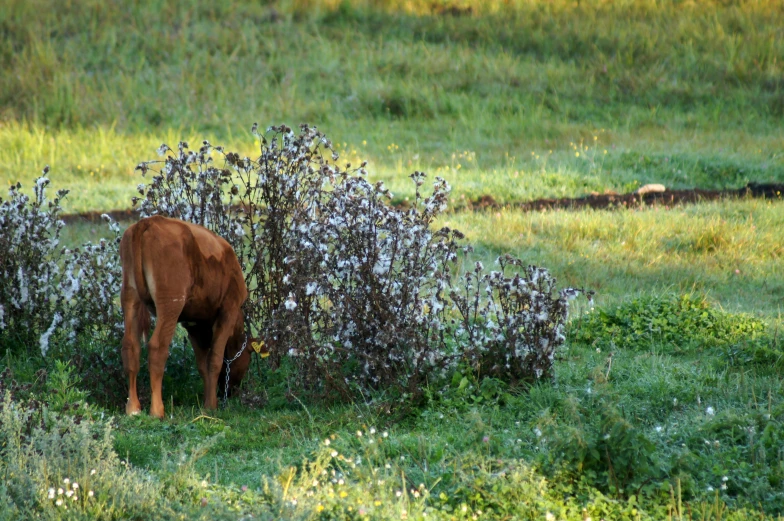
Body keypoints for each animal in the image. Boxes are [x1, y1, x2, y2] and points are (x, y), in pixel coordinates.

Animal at [119, 215, 254, 418]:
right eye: (247, 358)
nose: (231, 392)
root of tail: (149, 221)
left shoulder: (193, 325)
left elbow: (202, 364)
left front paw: (207, 402)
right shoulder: (228, 311)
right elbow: (214, 360)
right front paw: (211, 406)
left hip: (130, 295)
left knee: (130, 346)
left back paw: (133, 408)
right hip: (170, 302)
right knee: (157, 347)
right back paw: (157, 410)